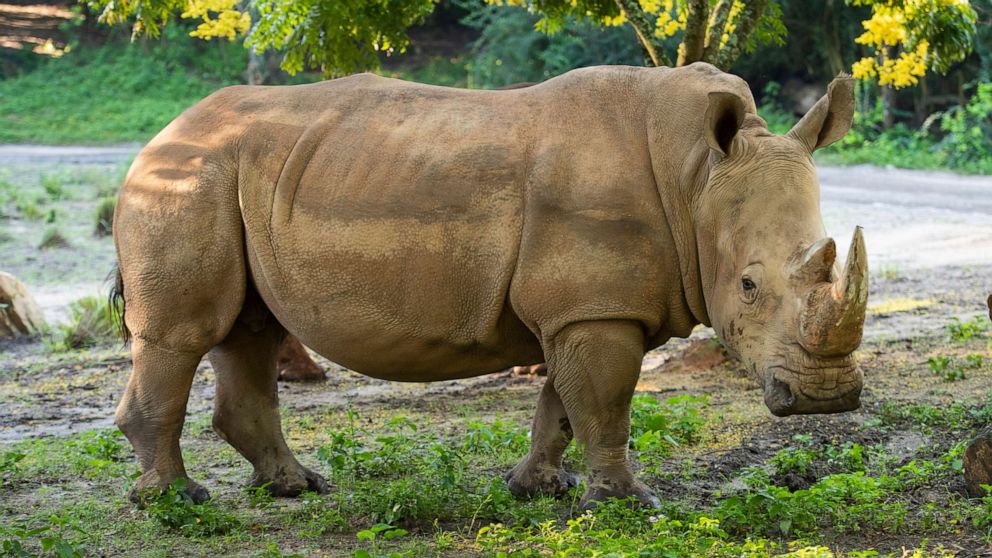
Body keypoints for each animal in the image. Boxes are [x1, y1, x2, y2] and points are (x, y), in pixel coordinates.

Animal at [112, 63, 864, 510]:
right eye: (748, 285)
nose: (826, 399)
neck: (696, 179)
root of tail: (160, 134)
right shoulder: (596, 308)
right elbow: (606, 403)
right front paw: (627, 503)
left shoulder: (581, 308)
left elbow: (564, 405)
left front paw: (539, 488)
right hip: (188, 178)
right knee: (184, 334)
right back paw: (176, 501)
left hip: (235, 176)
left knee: (249, 330)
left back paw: (295, 487)